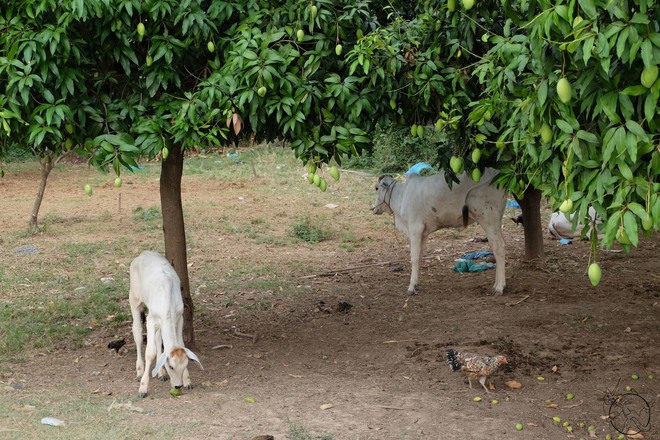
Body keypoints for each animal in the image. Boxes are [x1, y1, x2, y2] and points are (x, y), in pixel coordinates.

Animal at [128, 251, 201, 398]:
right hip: (134, 298)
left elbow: (179, 344)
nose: (178, 386)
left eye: (185, 364)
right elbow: (149, 352)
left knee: (157, 339)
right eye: (171, 366)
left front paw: (188, 381)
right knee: (137, 333)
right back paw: (139, 371)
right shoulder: (151, 319)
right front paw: (142, 389)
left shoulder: (179, 318)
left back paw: (161, 373)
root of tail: (143, 254)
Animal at [374, 168, 508, 296]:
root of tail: (499, 173)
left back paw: (499, 288)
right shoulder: (423, 233)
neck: (401, 195)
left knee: (499, 247)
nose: (374, 209)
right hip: (496, 221)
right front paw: (416, 284)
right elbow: (420, 256)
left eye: (376, 188)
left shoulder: (415, 228)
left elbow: (414, 258)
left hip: (488, 219)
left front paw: (411, 287)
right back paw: (497, 285)